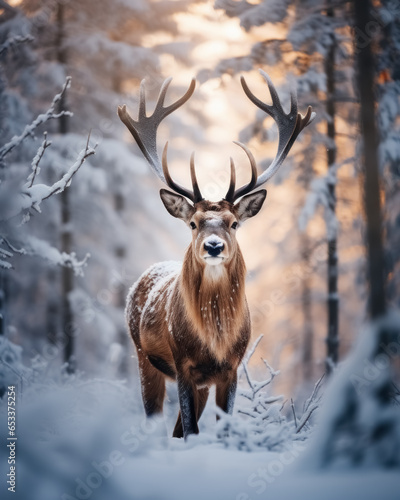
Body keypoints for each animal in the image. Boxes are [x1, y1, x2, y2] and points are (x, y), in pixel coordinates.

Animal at [117, 70, 314, 438]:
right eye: (193, 223)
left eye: (234, 223)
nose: (213, 245)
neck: (215, 339)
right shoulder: (182, 363)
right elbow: (192, 429)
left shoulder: (230, 369)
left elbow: (221, 427)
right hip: (142, 357)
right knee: (155, 418)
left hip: (199, 383)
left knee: (176, 428)